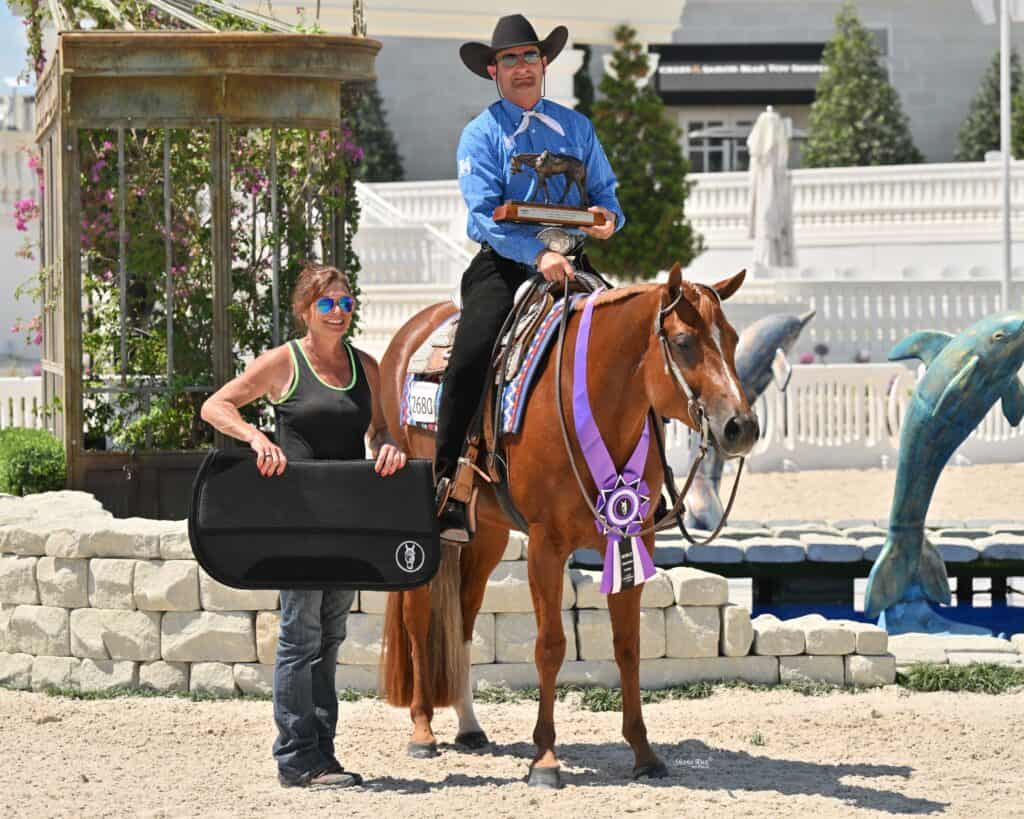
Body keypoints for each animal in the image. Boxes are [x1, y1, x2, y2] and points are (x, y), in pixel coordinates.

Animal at [377, 263, 758, 787]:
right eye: (683, 342)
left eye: (734, 338)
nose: (741, 427)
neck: (593, 405)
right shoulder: (545, 546)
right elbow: (550, 647)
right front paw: (545, 758)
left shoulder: (632, 540)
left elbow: (628, 646)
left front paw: (644, 753)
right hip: (426, 527)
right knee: (418, 616)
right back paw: (422, 731)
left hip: (486, 532)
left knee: (464, 619)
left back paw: (470, 726)